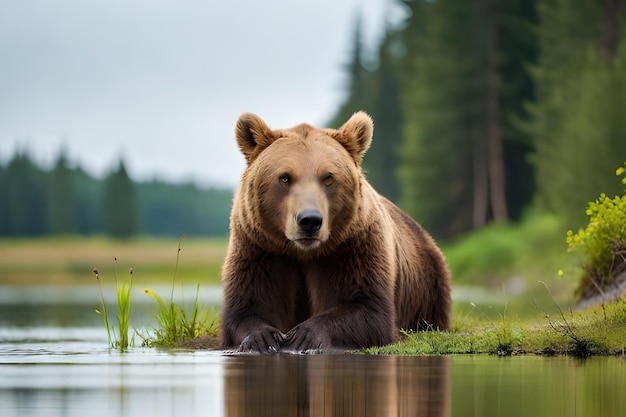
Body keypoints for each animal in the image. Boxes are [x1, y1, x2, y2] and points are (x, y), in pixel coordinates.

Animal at [218, 110, 448, 352]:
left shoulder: (351, 247)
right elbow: (248, 307)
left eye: (328, 177)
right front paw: (263, 338)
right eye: (285, 177)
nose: (309, 220)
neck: (302, 252)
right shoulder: (260, 249)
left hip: (428, 288)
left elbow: (367, 308)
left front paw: (304, 335)